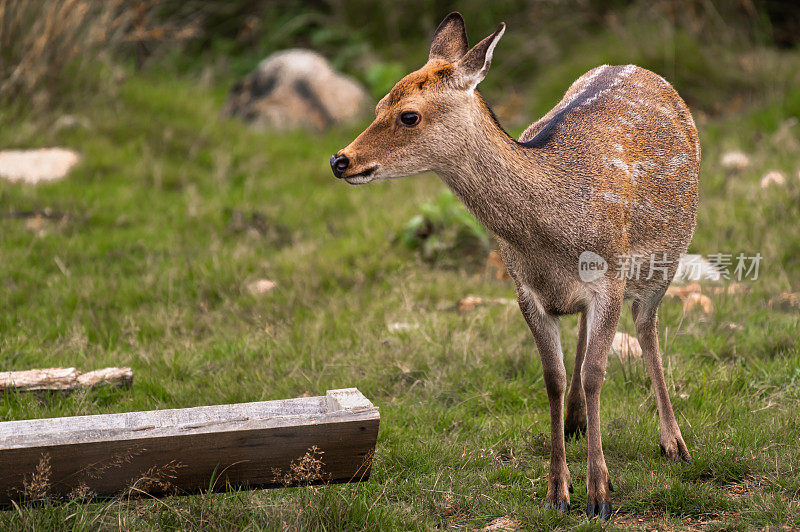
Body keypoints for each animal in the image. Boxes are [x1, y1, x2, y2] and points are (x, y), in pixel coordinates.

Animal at [328, 12, 696, 520]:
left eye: (409, 115)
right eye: (380, 103)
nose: (340, 160)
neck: (551, 238)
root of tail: (644, 69)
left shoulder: (610, 279)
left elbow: (596, 374)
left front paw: (599, 494)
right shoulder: (525, 290)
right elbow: (553, 378)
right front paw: (557, 491)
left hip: (668, 256)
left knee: (646, 327)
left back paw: (674, 443)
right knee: (586, 334)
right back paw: (576, 423)